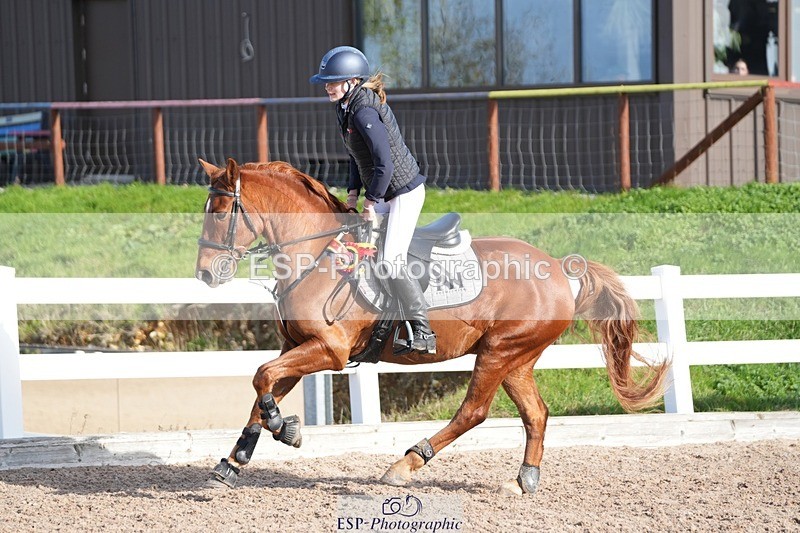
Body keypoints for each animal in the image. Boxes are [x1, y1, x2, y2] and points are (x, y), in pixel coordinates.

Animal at [194, 158, 669, 495]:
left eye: (220, 211)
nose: (205, 274)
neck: (316, 253)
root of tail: (558, 267)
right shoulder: (296, 346)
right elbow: (263, 389)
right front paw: (235, 460)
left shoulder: (330, 350)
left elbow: (262, 379)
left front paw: (284, 429)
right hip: (516, 358)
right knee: (536, 413)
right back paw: (523, 480)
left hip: (498, 352)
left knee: (473, 411)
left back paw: (405, 465)